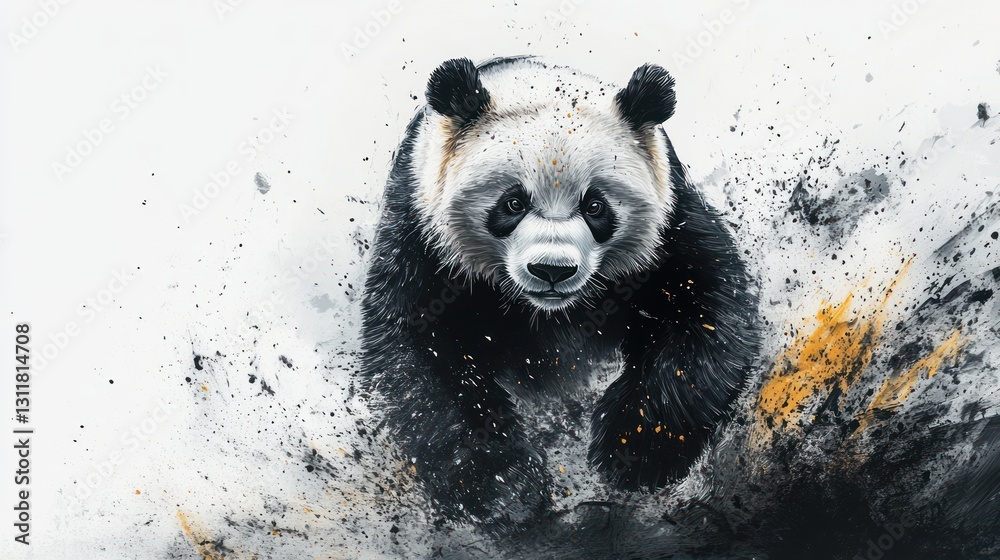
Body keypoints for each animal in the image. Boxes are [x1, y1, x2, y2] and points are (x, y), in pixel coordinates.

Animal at [360, 56, 760, 530]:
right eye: (513, 203)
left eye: (596, 206)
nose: (552, 270)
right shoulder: (422, 235)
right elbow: (421, 355)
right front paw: (504, 489)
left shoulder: (670, 225)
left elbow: (709, 313)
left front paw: (632, 452)